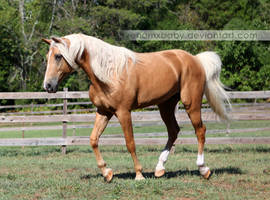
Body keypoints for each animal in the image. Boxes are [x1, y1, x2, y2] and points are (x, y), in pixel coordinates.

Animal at [42, 34, 230, 181]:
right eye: (47, 57)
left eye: (58, 56)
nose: (48, 86)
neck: (109, 74)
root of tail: (195, 59)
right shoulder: (104, 111)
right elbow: (93, 139)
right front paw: (107, 173)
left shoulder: (123, 112)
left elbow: (130, 142)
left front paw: (139, 174)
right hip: (166, 106)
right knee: (174, 131)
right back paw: (159, 168)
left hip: (191, 103)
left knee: (200, 130)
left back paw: (203, 169)